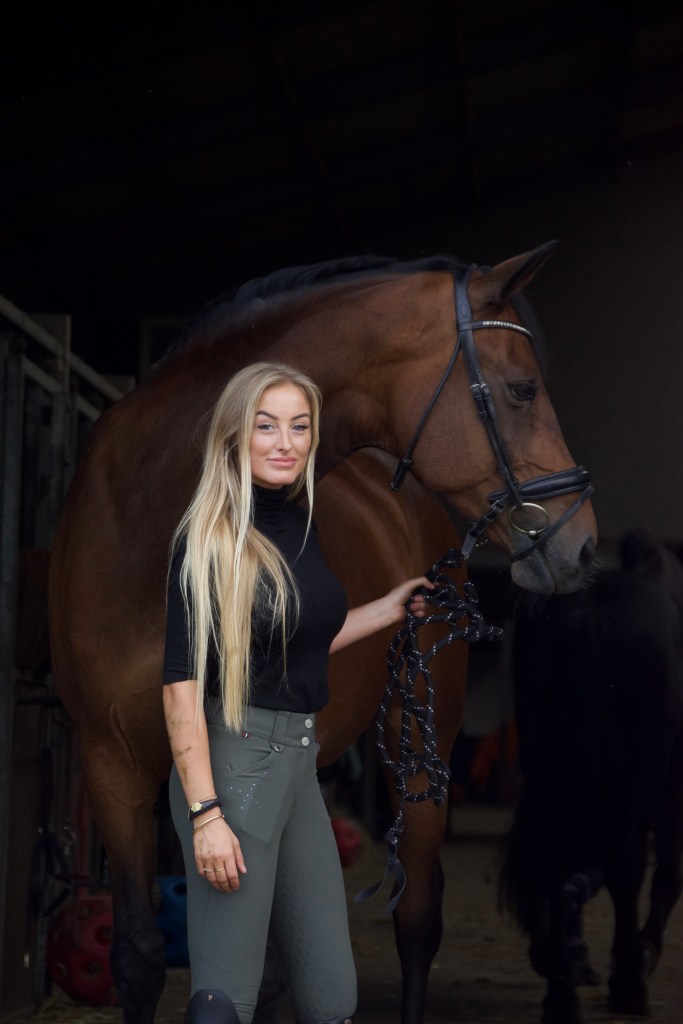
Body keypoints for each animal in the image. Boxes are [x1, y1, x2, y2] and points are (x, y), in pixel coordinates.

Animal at [48, 244, 597, 1024]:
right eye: (521, 390)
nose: (582, 546)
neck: (153, 520)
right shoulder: (111, 764)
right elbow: (138, 957)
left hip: (419, 743)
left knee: (416, 919)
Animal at [500, 528, 683, 1024]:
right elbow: (666, 876)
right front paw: (640, 954)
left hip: (551, 769)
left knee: (554, 859)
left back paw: (562, 995)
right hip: (634, 779)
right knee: (627, 866)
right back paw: (629, 986)